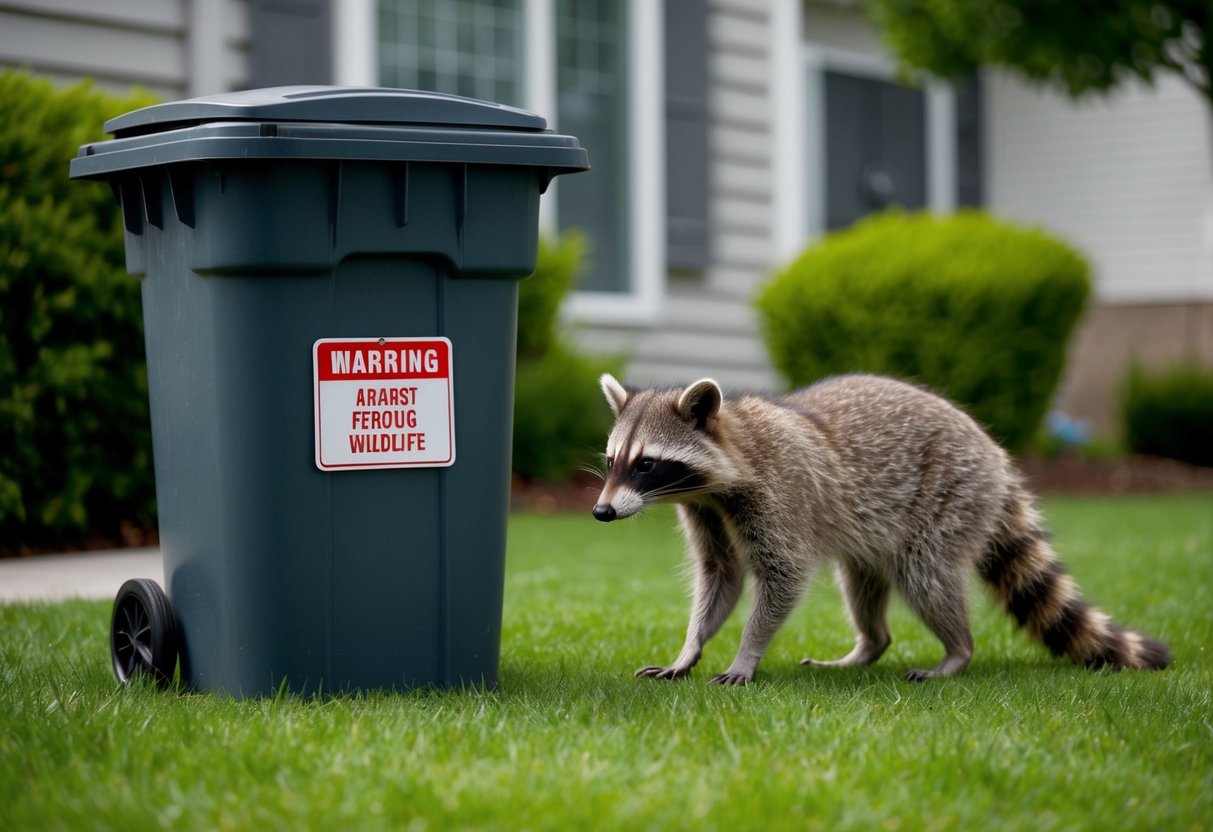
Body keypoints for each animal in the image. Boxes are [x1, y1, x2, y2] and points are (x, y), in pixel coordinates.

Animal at [592, 373, 1171, 684]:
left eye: (646, 464)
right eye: (612, 461)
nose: (601, 513)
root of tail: (997, 455)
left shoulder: (779, 496)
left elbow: (783, 577)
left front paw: (747, 652)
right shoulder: (707, 512)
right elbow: (721, 578)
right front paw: (689, 648)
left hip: (952, 495)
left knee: (926, 576)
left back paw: (957, 651)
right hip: (874, 530)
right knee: (862, 583)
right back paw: (868, 645)